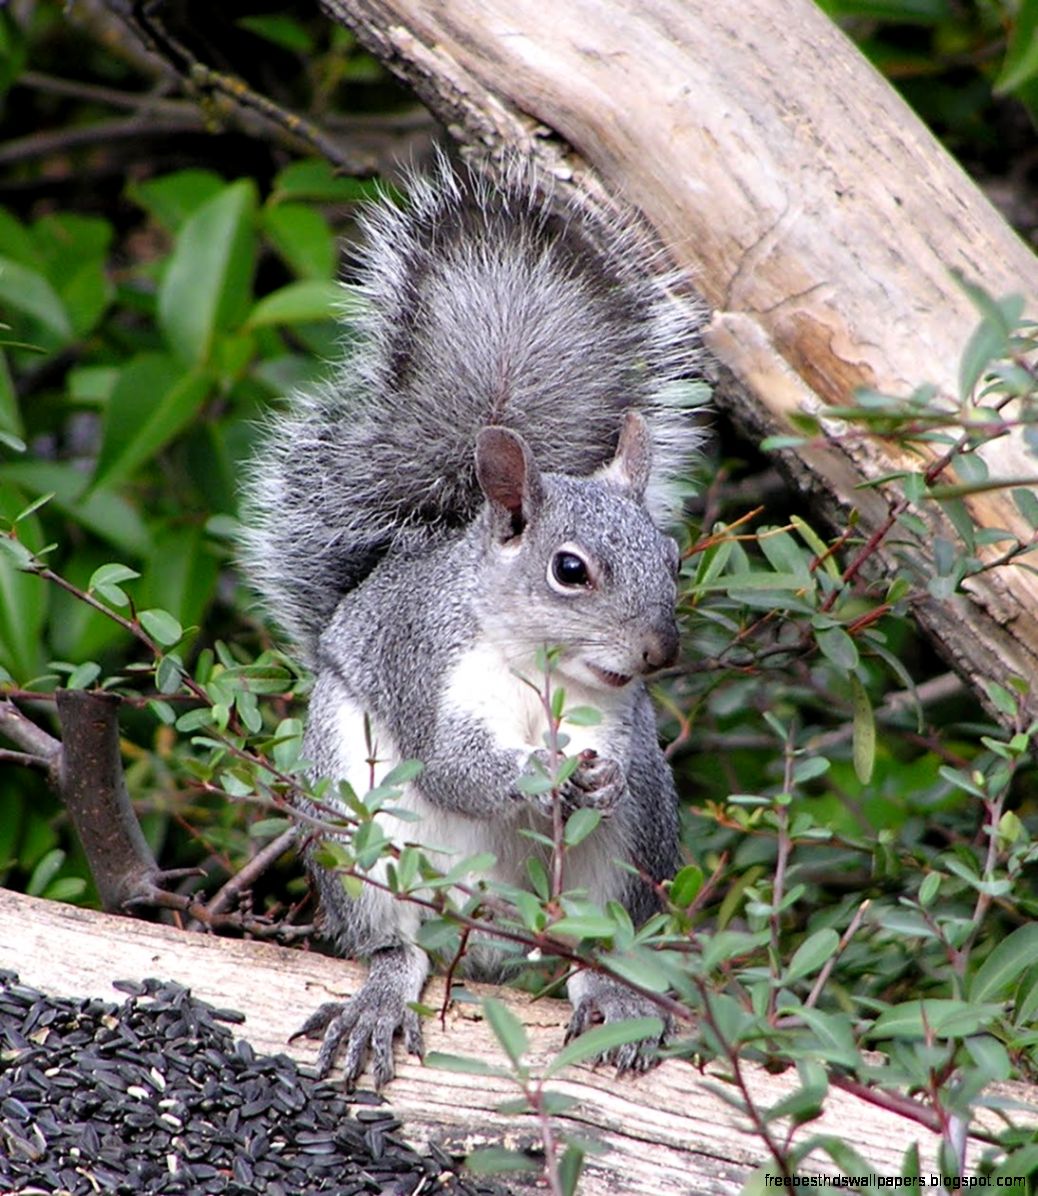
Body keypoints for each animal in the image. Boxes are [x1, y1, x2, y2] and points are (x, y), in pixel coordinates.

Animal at [241, 154, 705, 1089]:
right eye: (570, 570)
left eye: (671, 556)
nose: (657, 650)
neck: (537, 664)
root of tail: (490, 943)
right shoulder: (427, 663)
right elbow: (458, 767)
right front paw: (545, 778)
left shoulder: (615, 719)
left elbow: (615, 757)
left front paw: (599, 777)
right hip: (356, 826)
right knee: (394, 945)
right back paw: (382, 997)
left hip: (632, 856)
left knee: (598, 952)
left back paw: (618, 998)